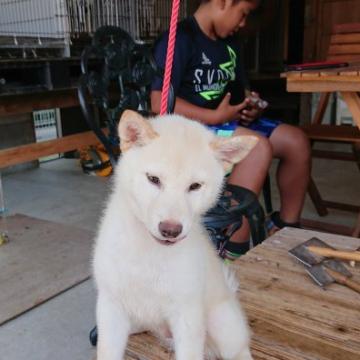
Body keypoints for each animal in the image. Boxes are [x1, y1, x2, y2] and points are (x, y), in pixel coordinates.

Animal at [93, 110, 256, 360]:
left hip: (223, 326)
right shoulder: (111, 307)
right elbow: (106, 351)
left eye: (195, 186)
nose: (170, 230)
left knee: (240, 350)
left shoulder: (187, 316)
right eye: (153, 179)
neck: (149, 253)